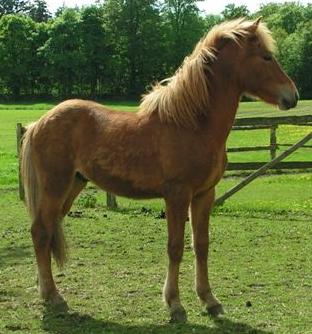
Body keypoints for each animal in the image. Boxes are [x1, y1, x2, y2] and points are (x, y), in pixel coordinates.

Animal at [20, 17, 298, 320]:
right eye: (267, 57)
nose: (293, 96)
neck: (192, 125)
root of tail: (38, 123)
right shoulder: (177, 195)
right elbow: (175, 247)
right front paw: (175, 303)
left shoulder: (204, 195)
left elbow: (201, 245)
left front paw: (209, 300)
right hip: (55, 188)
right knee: (40, 232)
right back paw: (54, 297)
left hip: (73, 185)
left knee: (47, 232)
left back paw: (45, 290)